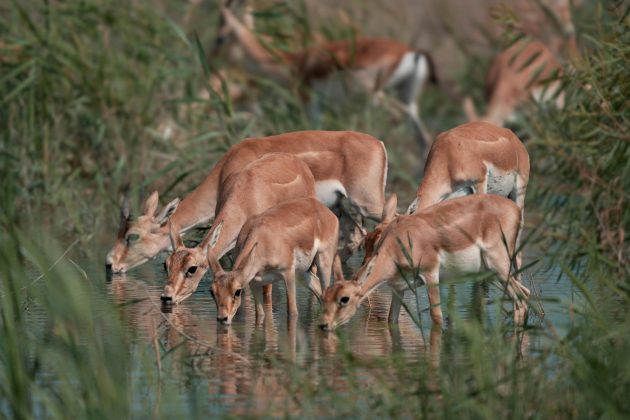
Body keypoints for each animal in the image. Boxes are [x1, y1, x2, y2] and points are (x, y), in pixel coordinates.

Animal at [106, 131, 388, 276]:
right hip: (342, 209)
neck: (227, 168)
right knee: (354, 239)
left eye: (132, 236)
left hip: (367, 204)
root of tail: (379, 143)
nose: (109, 264)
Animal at [211, 197, 344, 324]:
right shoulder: (255, 283)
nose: (222, 318)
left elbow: (293, 312)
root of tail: (326, 211)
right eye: (212, 291)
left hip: (322, 263)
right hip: (301, 273)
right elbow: (260, 314)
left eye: (237, 291)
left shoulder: (288, 273)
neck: (263, 238)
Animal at [217, 6, 440, 149]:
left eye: (220, 38)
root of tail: (411, 51)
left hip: (375, 99)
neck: (292, 63)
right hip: (408, 99)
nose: (212, 61)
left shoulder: (310, 104)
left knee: (397, 119)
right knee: (423, 135)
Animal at [320, 194, 532, 332]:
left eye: (344, 298)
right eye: (324, 297)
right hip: (493, 274)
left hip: (499, 268)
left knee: (521, 298)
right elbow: (391, 320)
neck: (398, 242)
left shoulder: (431, 275)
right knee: (525, 294)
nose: (323, 324)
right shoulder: (399, 288)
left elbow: (437, 317)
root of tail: (516, 210)